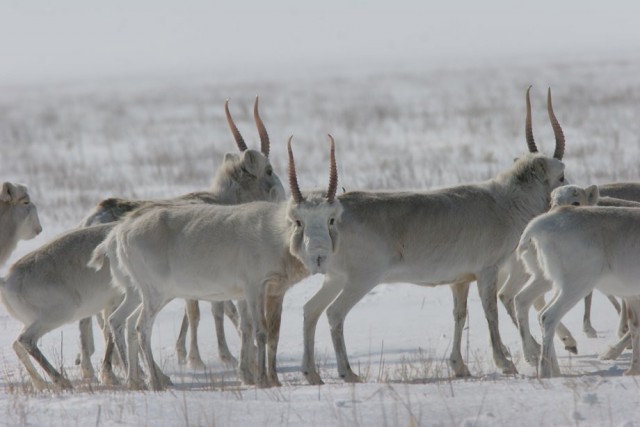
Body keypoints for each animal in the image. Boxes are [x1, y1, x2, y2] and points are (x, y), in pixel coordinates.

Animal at [89, 135, 340, 390]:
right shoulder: (253, 289)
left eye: (331, 218)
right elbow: (258, 331)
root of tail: (118, 233)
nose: (319, 257)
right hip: (154, 294)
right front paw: (261, 380)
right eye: (298, 220)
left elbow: (269, 332)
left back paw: (136, 381)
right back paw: (156, 381)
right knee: (141, 327)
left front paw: (269, 378)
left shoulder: (274, 292)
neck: (275, 232)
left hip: (143, 294)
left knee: (122, 321)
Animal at [302, 87, 568, 384]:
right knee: (334, 313)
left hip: (335, 278)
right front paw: (505, 362)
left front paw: (459, 365)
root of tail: (334, 214)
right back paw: (347, 372)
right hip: (360, 280)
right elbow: (491, 312)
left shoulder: (460, 280)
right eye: (562, 176)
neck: (504, 202)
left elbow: (460, 315)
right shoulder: (487, 271)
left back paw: (312, 373)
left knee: (310, 310)